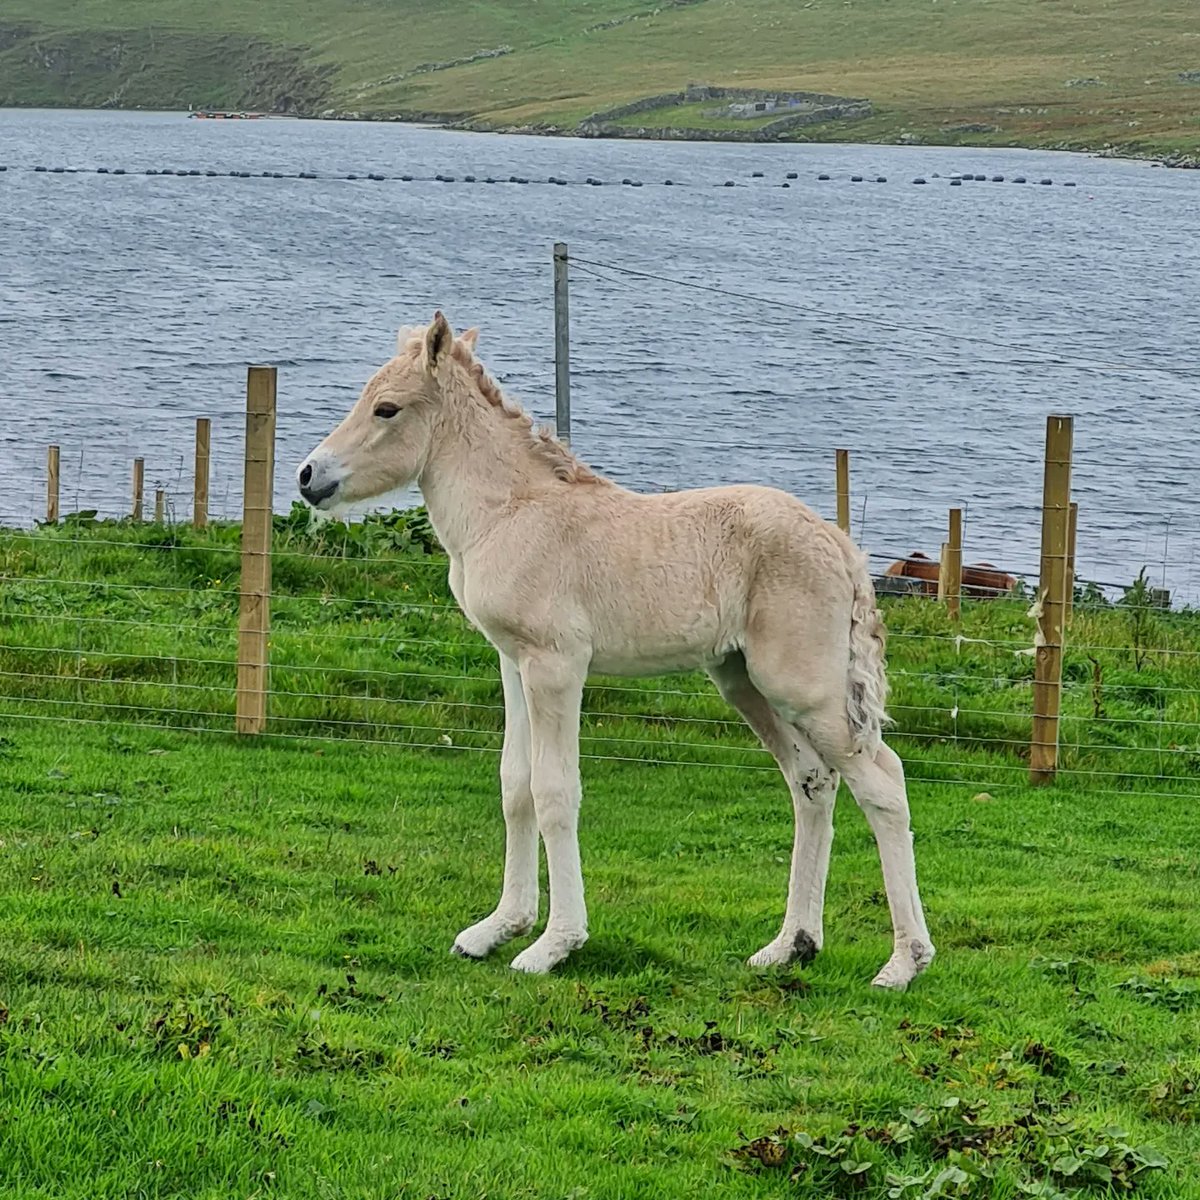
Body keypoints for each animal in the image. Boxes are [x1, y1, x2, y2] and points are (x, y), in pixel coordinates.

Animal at [298, 314, 934, 990]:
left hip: (803, 687)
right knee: (812, 781)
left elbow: (555, 792)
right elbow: (515, 786)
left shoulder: (556, 666)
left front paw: (553, 944)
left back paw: (903, 963)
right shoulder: (512, 662)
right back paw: (790, 946)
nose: (308, 477)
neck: (509, 513)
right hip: (742, 681)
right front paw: (497, 929)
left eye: (386, 408)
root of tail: (841, 546)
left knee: (884, 783)